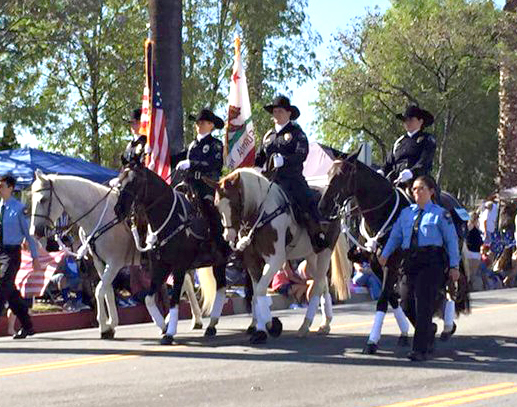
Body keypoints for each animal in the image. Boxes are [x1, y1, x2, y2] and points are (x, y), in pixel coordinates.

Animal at [204, 168, 344, 344]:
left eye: (236, 204)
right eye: (216, 205)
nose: (228, 236)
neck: (261, 214)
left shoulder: (276, 259)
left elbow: (260, 291)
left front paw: (268, 326)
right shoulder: (252, 261)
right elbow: (257, 293)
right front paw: (263, 328)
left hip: (325, 251)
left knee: (317, 286)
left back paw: (305, 326)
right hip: (311, 255)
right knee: (322, 283)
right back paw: (325, 323)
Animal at [316, 151, 470, 356]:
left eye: (341, 175)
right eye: (328, 173)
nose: (322, 206)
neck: (383, 213)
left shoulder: (392, 264)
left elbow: (383, 301)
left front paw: (372, 341)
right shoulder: (376, 264)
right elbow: (393, 298)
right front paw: (415, 330)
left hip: (449, 259)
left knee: (450, 286)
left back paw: (447, 326)